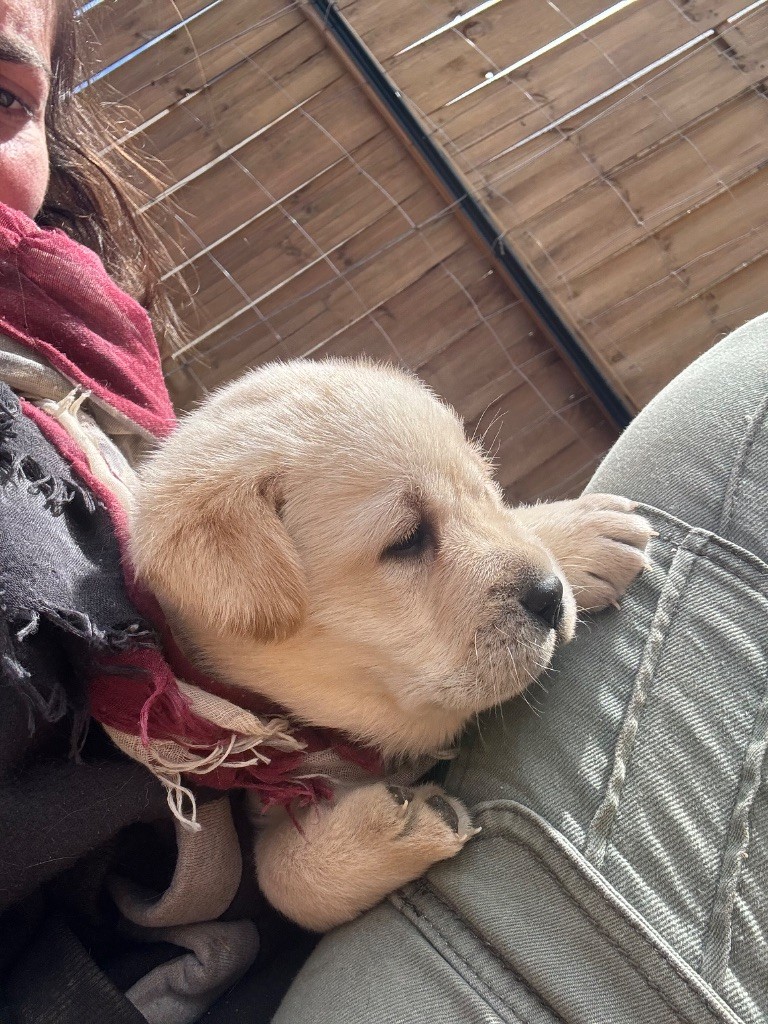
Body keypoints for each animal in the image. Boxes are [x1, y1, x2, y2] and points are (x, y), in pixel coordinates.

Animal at [129, 358, 651, 929]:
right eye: (407, 540)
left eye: (484, 488)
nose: (550, 596)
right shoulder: (273, 794)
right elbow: (284, 883)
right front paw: (400, 825)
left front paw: (572, 533)